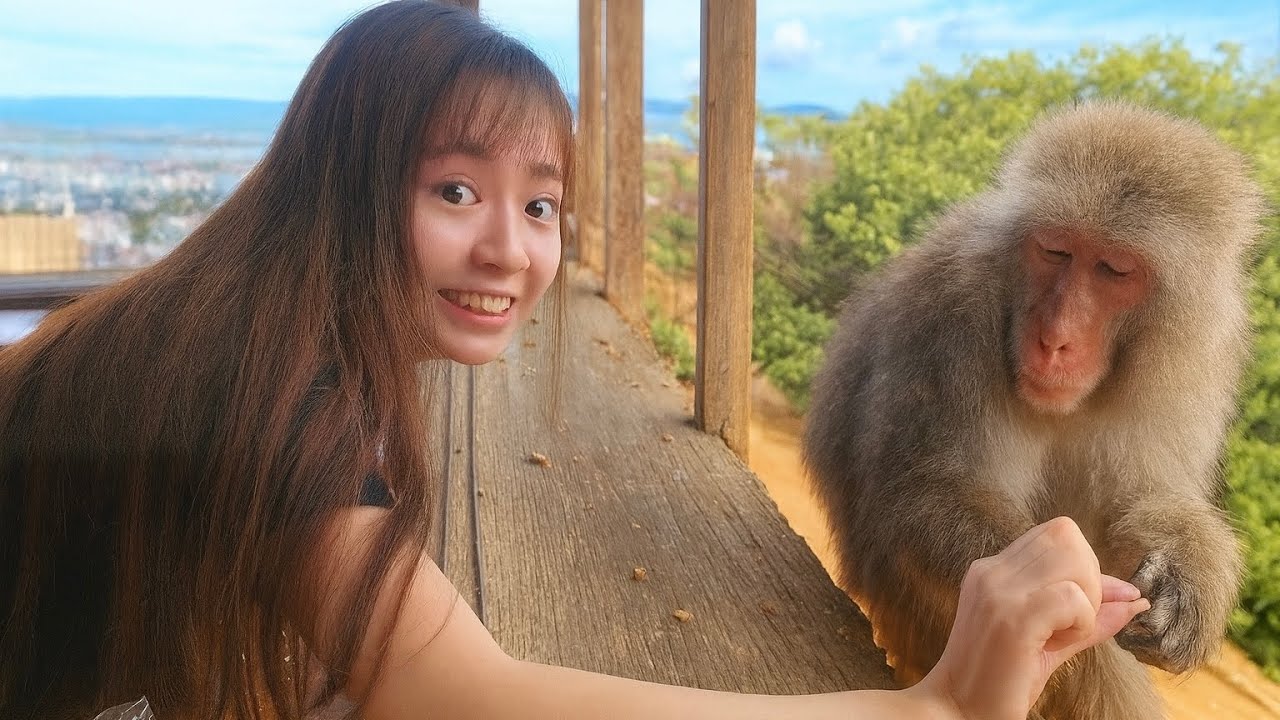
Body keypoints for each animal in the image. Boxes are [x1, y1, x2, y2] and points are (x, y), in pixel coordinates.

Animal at [801, 100, 1268, 720]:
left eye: (1114, 269)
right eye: (1056, 251)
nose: (1055, 338)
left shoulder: (1193, 364)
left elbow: (1140, 501)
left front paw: (1192, 576)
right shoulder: (952, 313)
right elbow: (919, 496)